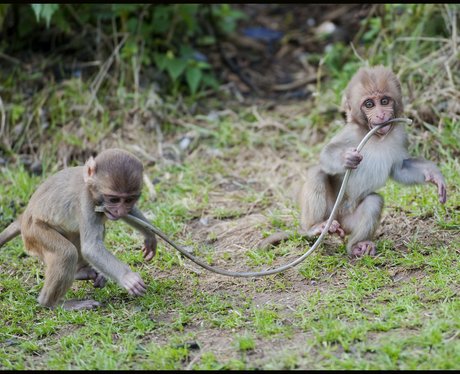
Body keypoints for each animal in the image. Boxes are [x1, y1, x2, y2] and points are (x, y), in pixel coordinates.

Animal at [0, 148, 157, 310]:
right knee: (66, 253)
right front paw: (128, 277)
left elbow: (130, 214)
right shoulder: (86, 201)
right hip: (34, 232)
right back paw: (52, 303)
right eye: (114, 199)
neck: (91, 188)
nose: (119, 211)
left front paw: (149, 236)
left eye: (128, 200)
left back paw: (80, 272)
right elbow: (91, 248)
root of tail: (25, 216)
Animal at [260, 65, 448, 258]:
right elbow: (326, 154)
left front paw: (433, 174)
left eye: (385, 101)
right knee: (317, 172)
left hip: (349, 223)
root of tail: (338, 221)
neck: (377, 137)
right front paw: (347, 158)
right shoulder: (351, 132)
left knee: (373, 201)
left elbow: (400, 168)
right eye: (369, 104)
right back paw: (315, 227)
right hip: (330, 212)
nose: (381, 114)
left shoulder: (400, 135)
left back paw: (357, 245)